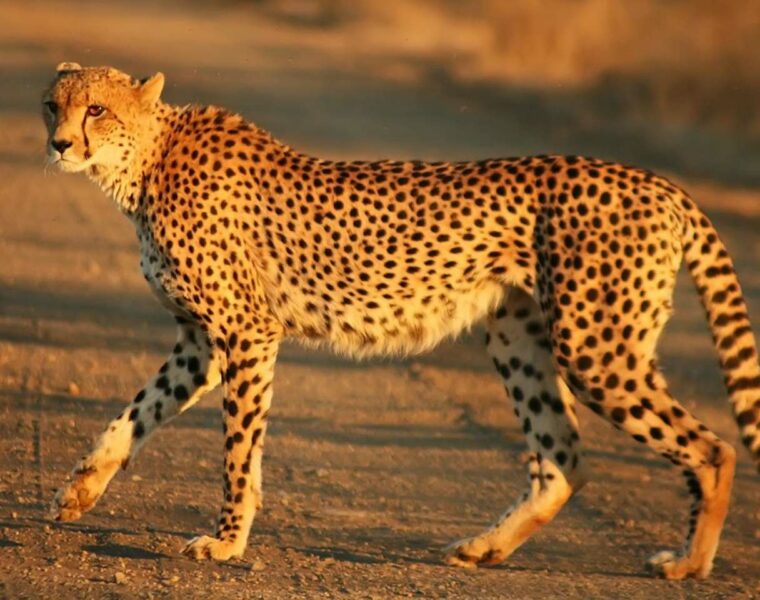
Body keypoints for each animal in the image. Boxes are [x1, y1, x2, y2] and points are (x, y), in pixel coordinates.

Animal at [41, 63, 760, 580]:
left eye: (96, 109)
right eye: (54, 104)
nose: (58, 143)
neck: (145, 163)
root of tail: (658, 183)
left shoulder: (246, 333)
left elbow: (239, 451)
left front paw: (225, 543)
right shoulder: (201, 343)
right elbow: (137, 412)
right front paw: (80, 491)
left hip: (595, 348)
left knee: (713, 449)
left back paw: (690, 563)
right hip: (519, 336)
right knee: (562, 461)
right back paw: (485, 548)